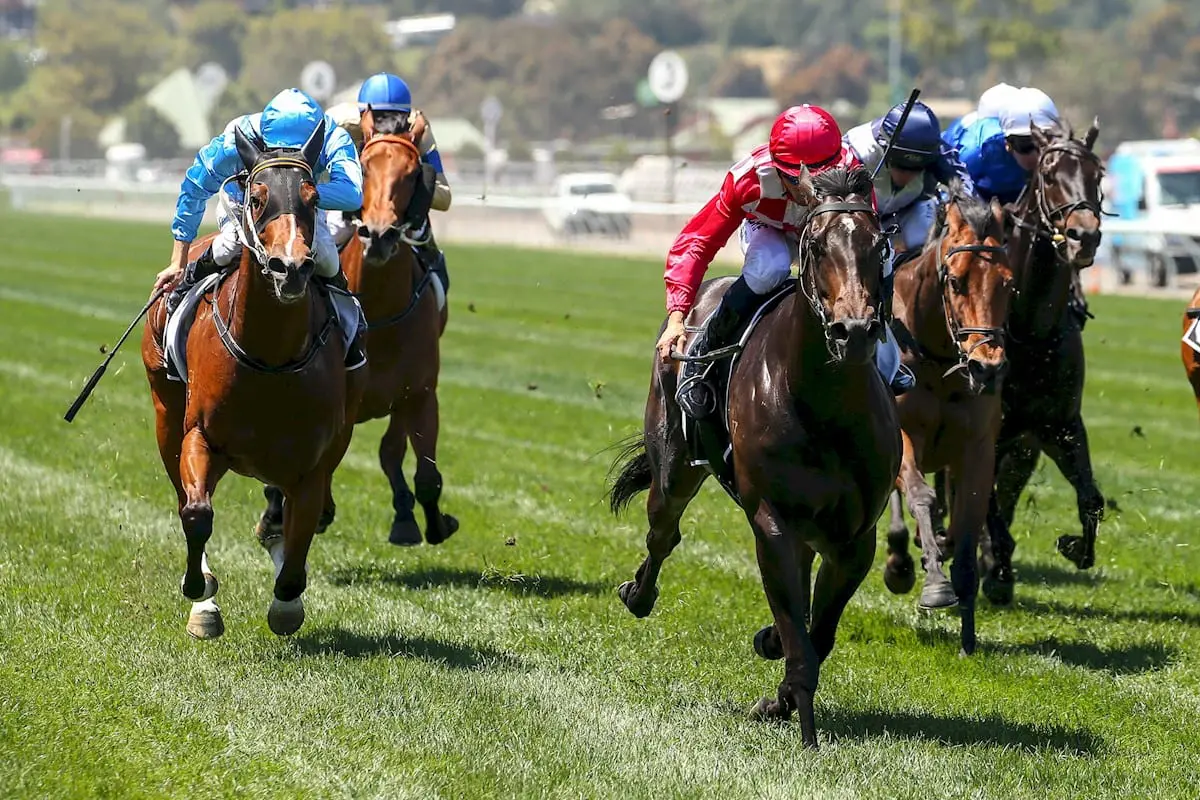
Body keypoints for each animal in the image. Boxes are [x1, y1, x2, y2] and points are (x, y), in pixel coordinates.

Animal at [141, 122, 364, 642]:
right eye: (258, 197)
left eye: (313, 196)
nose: (291, 267)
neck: (270, 357)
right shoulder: (200, 436)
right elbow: (196, 513)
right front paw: (200, 593)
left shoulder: (314, 459)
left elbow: (300, 534)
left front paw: (287, 603)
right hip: (166, 416)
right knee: (185, 496)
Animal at [255, 107, 456, 551]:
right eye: (363, 167)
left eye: (413, 174)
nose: (378, 234)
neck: (380, 312)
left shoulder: (419, 393)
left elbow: (422, 470)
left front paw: (429, 522)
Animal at [609, 165, 902, 748]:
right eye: (815, 245)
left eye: (878, 244)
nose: (855, 332)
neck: (823, 404)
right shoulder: (773, 521)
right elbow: (800, 636)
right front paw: (801, 724)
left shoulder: (855, 538)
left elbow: (817, 633)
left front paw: (778, 685)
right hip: (673, 467)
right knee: (663, 533)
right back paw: (638, 592)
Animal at [883, 183, 1012, 657]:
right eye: (956, 281)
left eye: (1008, 283)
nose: (988, 368)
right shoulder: (903, 434)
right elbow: (919, 495)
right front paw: (935, 585)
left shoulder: (977, 448)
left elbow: (965, 527)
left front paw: (968, 638)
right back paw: (900, 561)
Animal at [974, 120, 1104, 606]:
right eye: (1049, 176)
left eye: (1097, 175)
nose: (1084, 235)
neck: (1029, 331)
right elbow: (984, 503)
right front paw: (997, 572)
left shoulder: (1059, 425)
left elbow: (1091, 499)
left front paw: (1074, 545)